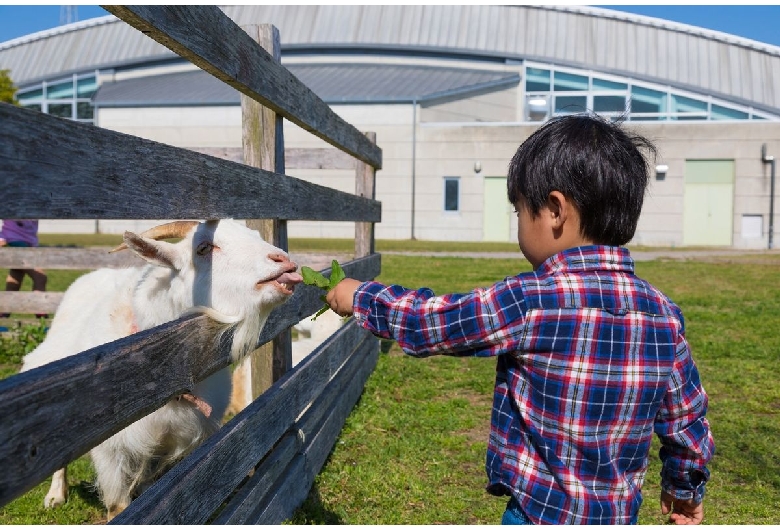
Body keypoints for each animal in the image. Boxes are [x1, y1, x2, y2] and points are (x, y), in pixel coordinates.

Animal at [21, 219, 302, 520]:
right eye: (203, 248)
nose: (283, 260)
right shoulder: (112, 449)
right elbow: (117, 507)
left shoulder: (172, 442)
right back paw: (55, 496)